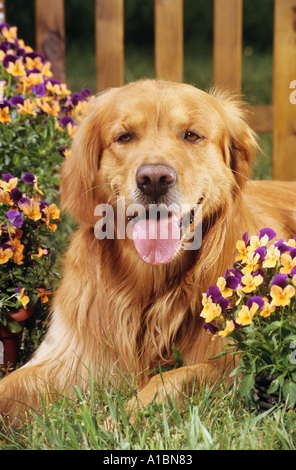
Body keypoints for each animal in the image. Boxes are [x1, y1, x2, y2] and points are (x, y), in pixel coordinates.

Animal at [0, 80, 296, 426]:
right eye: (125, 137)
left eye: (191, 135)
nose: (154, 179)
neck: (154, 285)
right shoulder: (72, 358)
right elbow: (8, 387)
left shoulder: (233, 358)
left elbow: (177, 377)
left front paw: (119, 420)